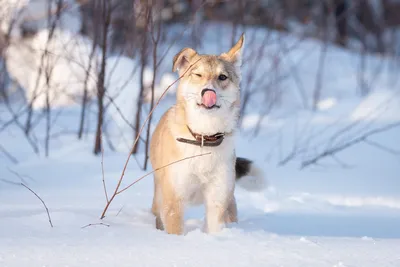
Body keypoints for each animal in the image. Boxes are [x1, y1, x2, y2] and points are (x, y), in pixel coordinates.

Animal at [149, 34, 266, 237]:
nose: (208, 92)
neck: (204, 138)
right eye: (197, 75)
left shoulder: (217, 199)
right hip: (159, 198)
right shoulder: (174, 202)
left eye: (222, 77)